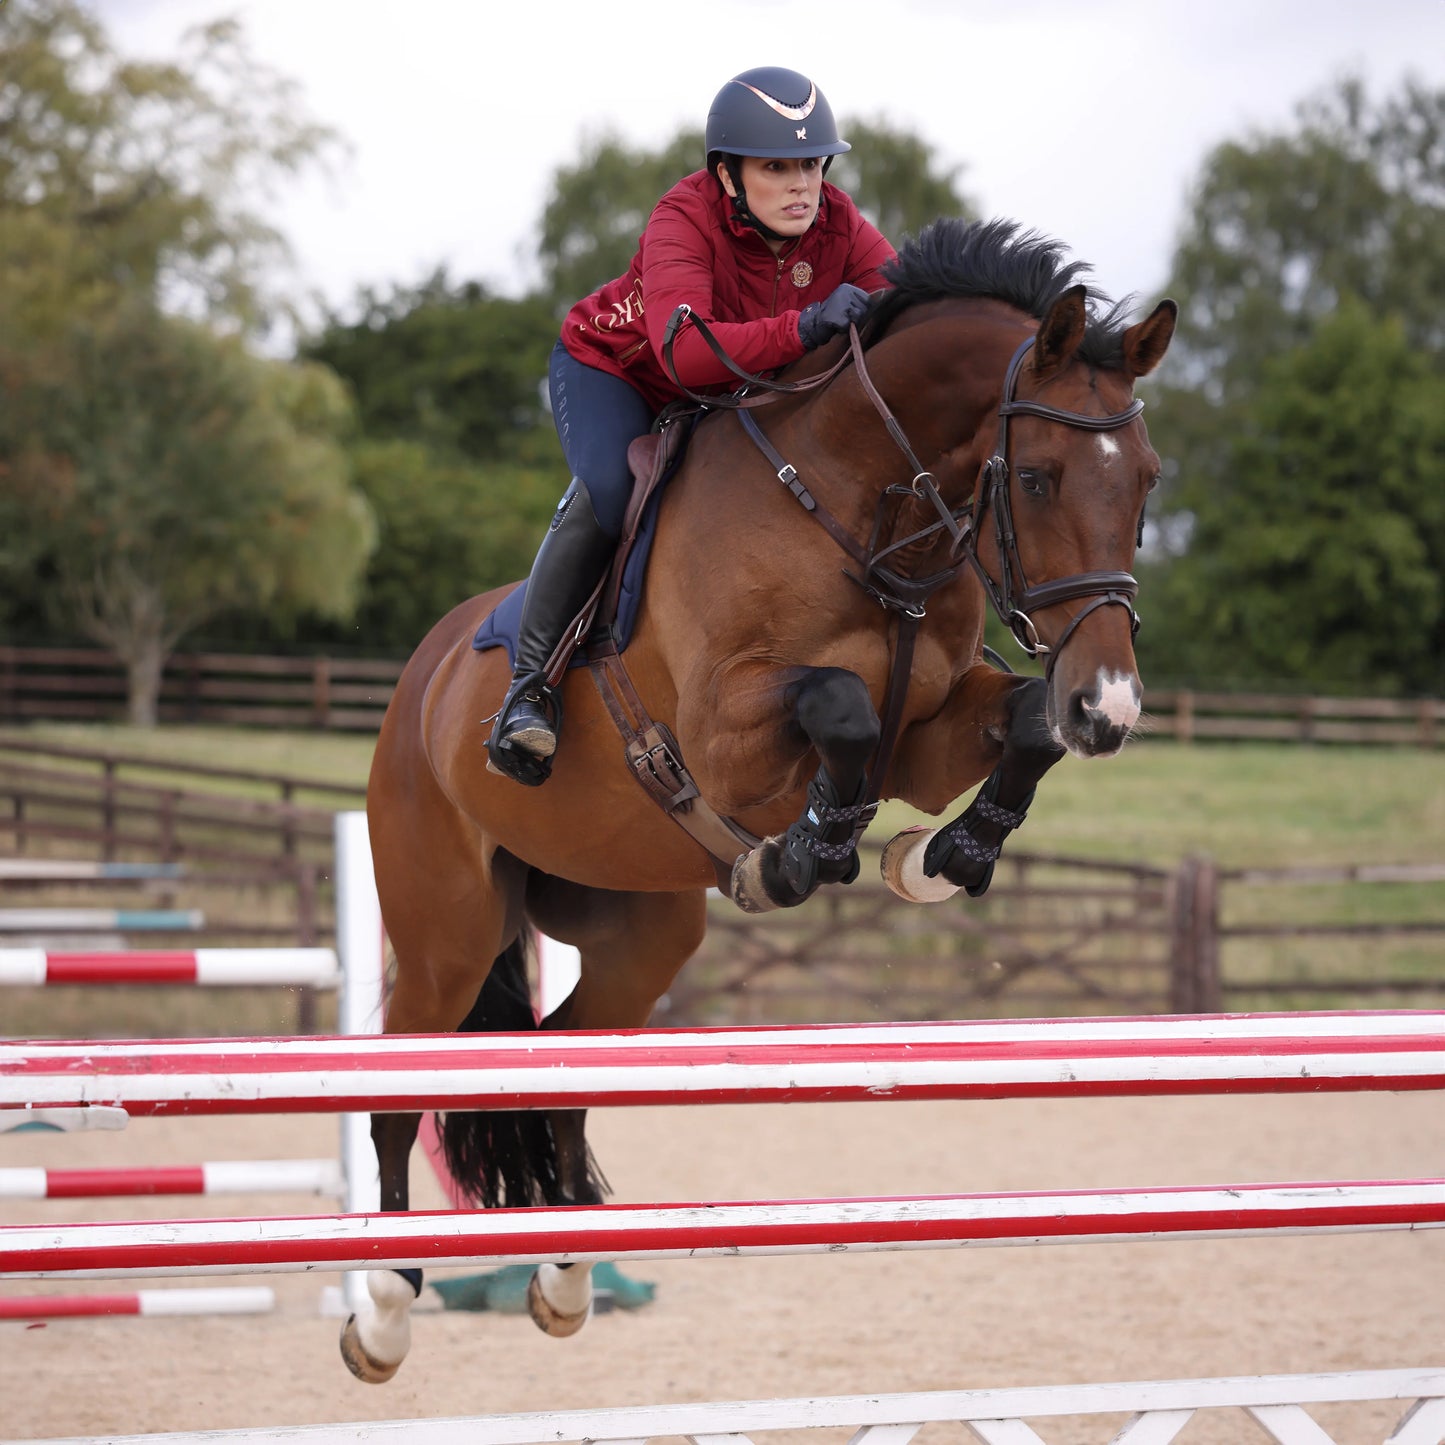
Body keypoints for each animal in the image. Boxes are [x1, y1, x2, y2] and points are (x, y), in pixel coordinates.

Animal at [342, 217, 1176, 1382]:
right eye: (1044, 478)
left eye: (1144, 480)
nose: (1109, 705)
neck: (869, 503)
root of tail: (416, 681)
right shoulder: (726, 734)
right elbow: (837, 708)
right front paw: (797, 854)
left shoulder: (927, 736)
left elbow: (1012, 724)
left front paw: (942, 857)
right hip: (445, 932)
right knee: (396, 1077)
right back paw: (382, 1303)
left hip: (637, 935)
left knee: (558, 1061)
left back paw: (564, 1275)